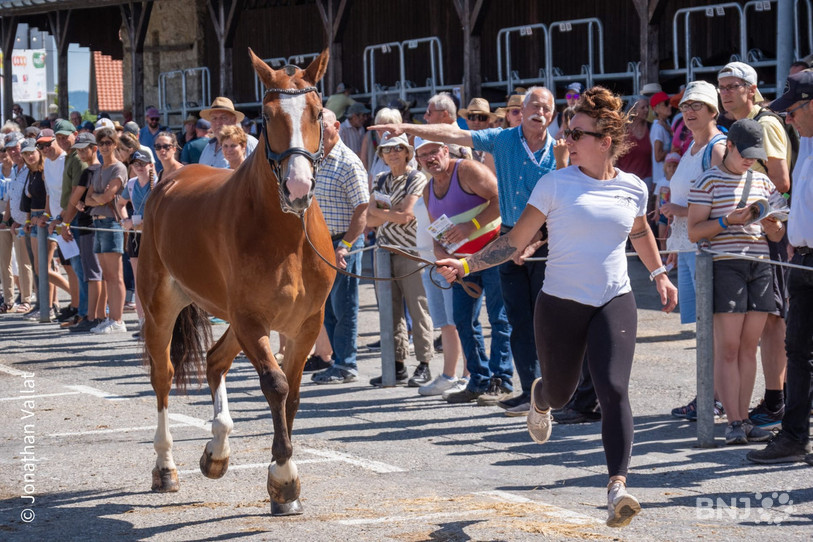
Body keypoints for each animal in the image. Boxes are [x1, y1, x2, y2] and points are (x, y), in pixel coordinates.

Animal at [137, 49, 336, 516]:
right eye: (267, 114)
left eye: (317, 112)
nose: (298, 186)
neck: (287, 237)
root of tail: (169, 177)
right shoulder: (251, 320)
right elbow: (276, 385)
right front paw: (284, 479)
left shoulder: (305, 325)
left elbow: (292, 393)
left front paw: (281, 486)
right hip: (161, 307)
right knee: (163, 375)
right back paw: (166, 468)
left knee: (214, 360)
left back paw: (217, 451)